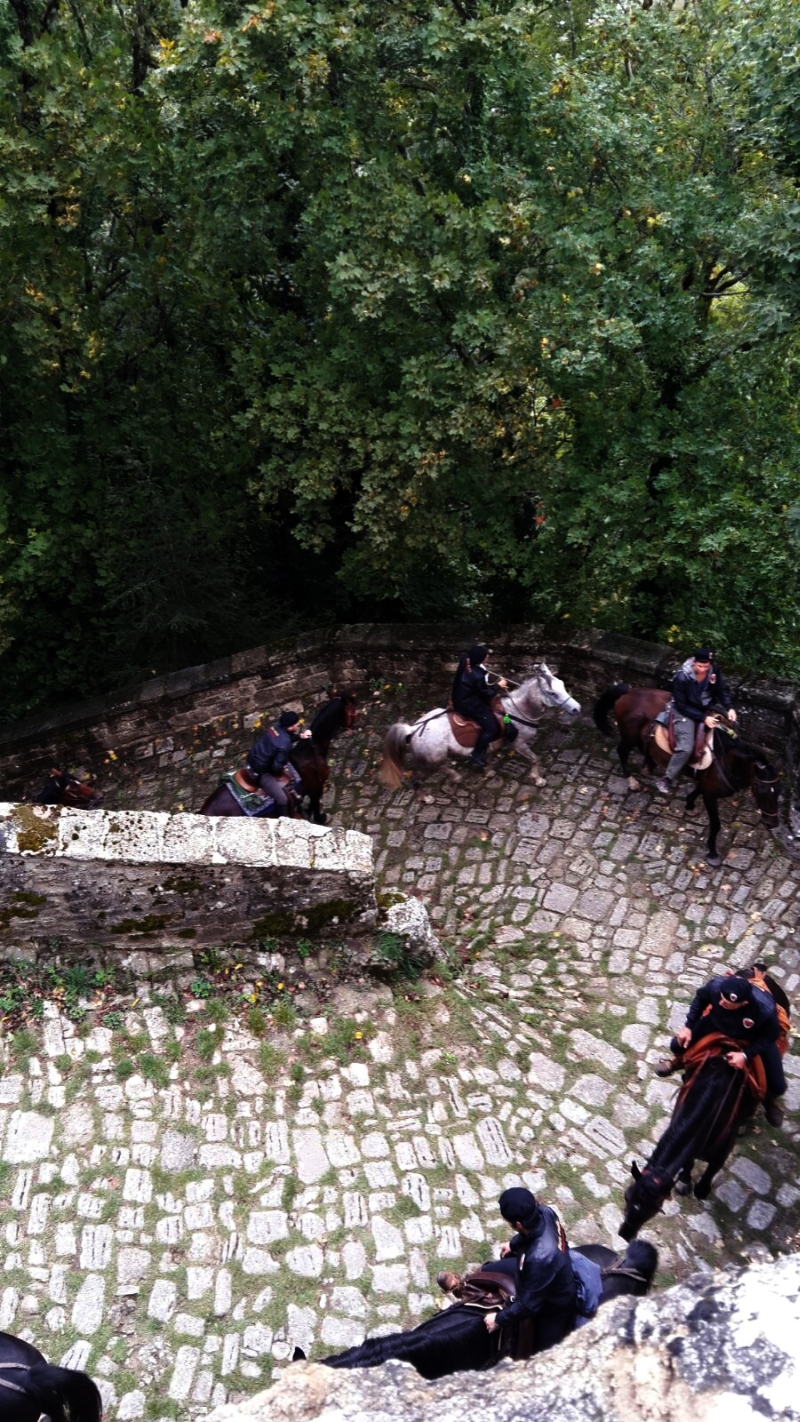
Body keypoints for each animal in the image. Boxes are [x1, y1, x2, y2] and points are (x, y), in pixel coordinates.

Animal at [201, 691, 358, 824]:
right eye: (353, 710)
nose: (356, 723)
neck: (310, 753)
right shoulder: (316, 787)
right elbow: (315, 805)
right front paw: (321, 818)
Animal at [380, 662, 582, 790]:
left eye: (563, 685)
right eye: (552, 693)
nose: (576, 709)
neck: (516, 711)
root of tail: (413, 729)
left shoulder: (496, 742)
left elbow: (491, 755)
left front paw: (488, 771)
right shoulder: (518, 743)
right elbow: (535, 759)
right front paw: (538, 780)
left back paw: (455, 777)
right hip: (432, 759)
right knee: (420, 777)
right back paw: (430, 795)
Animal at [593, 679, 784, 864]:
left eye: (778, 792)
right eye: (761, 791)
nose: (772, 823)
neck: (726, 758)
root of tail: (629, 691)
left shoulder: (706, 783)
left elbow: (697, 790)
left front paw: (690, 805)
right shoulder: (710, 794)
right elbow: (716, 824)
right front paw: (712, 853)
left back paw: (650, 765)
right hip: (628, 737)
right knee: (622, 751)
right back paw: (632, 781)